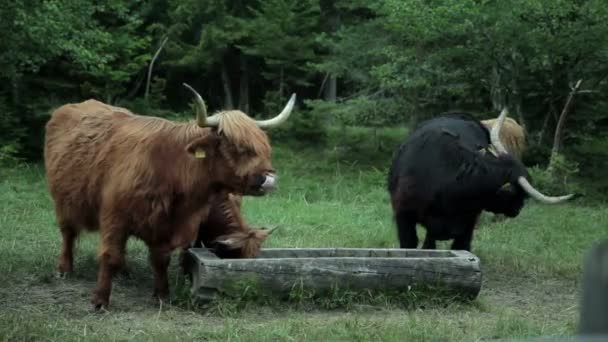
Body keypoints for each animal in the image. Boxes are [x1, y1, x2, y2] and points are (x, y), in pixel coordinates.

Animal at [43, 84, 294, 312]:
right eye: (238, 147)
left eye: (265, 147)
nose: (269, 179)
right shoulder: (115, 217)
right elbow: (110, 256)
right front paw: (99, 301)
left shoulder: (172, 224)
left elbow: (161, 259)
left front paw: (162, 295)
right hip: (64, 201)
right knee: (68, 233)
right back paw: (64, 269)